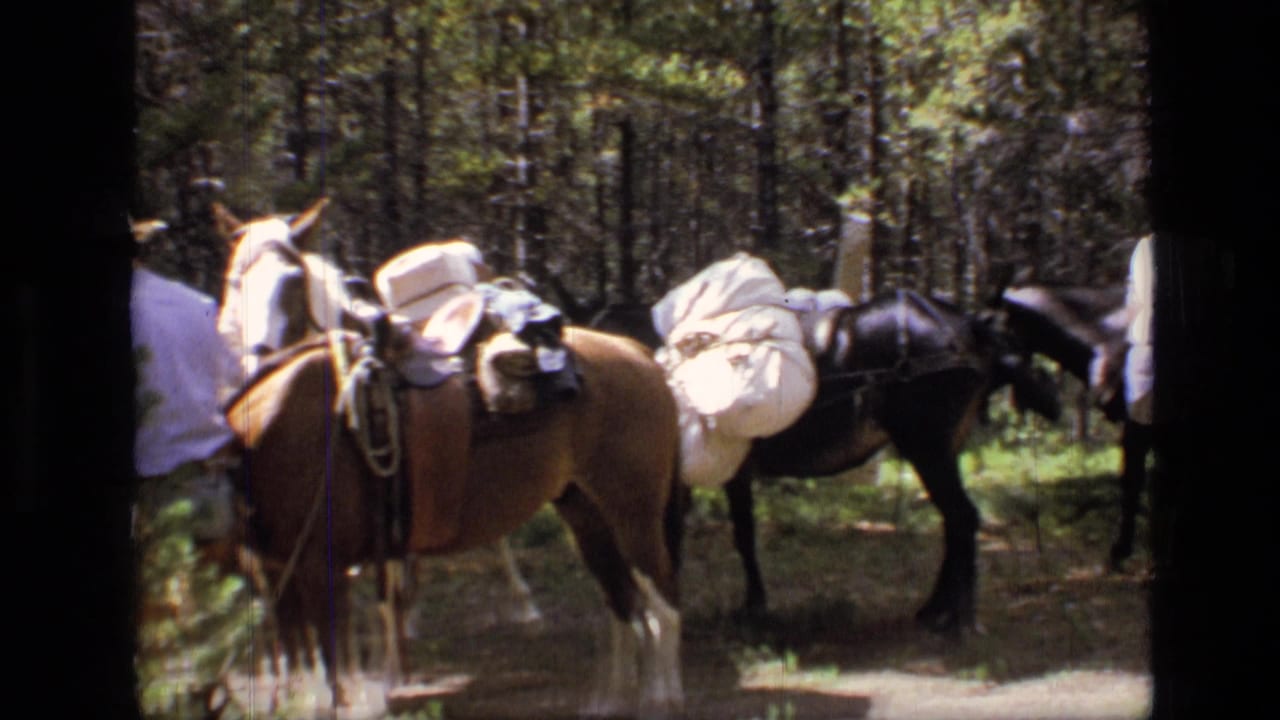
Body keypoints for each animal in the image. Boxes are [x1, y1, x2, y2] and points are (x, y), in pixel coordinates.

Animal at [218, 205, 686, 716]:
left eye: (293, 279)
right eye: (234, 281)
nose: (256, 355)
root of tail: (637, 352)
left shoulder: (320, 566)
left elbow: (333, 668)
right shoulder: (279, 571)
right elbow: (308, 663)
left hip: (633, 512)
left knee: (662, 602)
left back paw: (661, 693)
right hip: (585, 512)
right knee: (624, 602)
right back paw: (614, 698)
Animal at [592, 289, 1062, 634]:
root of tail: (971, 330)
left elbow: (684, 536)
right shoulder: (732, 472)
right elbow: (740, 534)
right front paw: (752, 605)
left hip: (926, 447)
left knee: (962, 518)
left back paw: (956, 618)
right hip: (941, 450)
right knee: (955, 521)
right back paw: (937, 610)